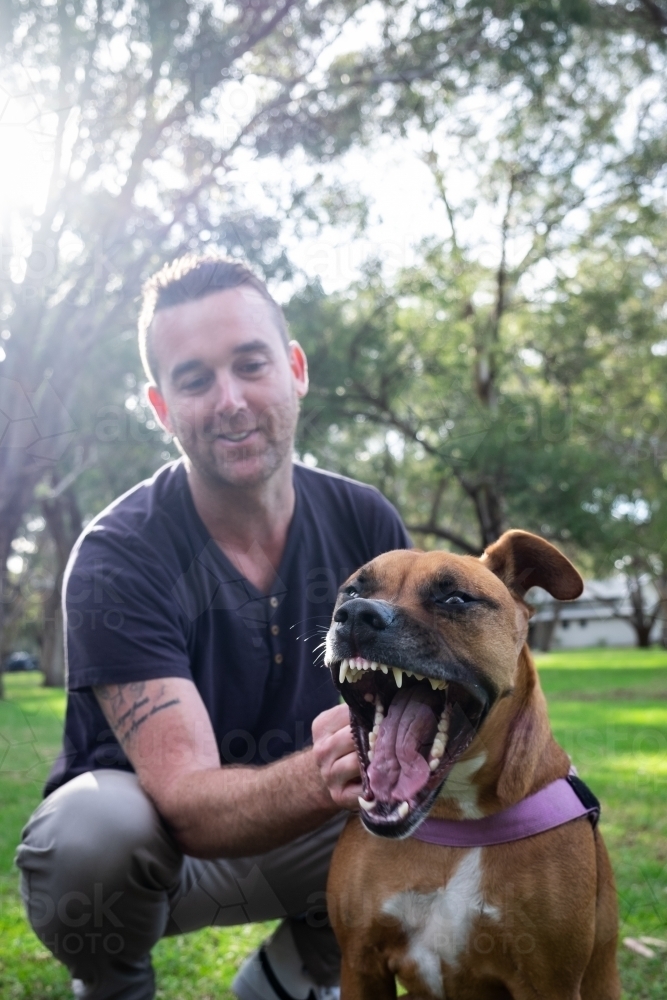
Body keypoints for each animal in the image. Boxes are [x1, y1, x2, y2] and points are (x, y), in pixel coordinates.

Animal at [324, 532, 620, 1000]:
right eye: (353, 591)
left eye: (455, 598)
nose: (355, 614)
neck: (455, 815)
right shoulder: (360, 964)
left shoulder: (549, 983)